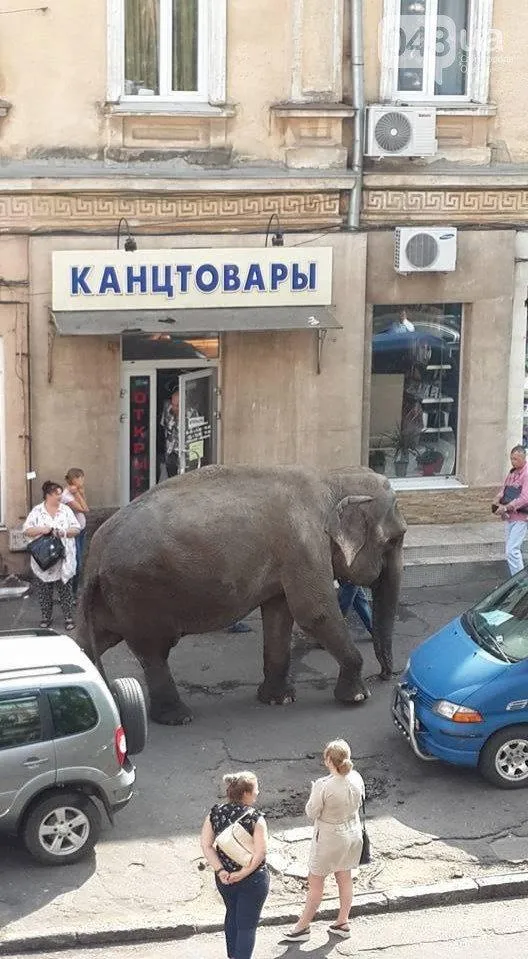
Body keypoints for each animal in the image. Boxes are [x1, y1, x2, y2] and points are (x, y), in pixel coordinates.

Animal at [78, 466, 407, 725]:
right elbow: (315, 612)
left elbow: (279, 615)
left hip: (113, 597)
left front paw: (279, 700)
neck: (332, 479)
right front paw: (358, 698)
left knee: (91, 642)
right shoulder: (305, 546)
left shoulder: (290, 556)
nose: (385, 676)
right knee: (154, 650)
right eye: (394, 540)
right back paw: (178, 717)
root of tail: (96, 551)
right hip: (138, 592)